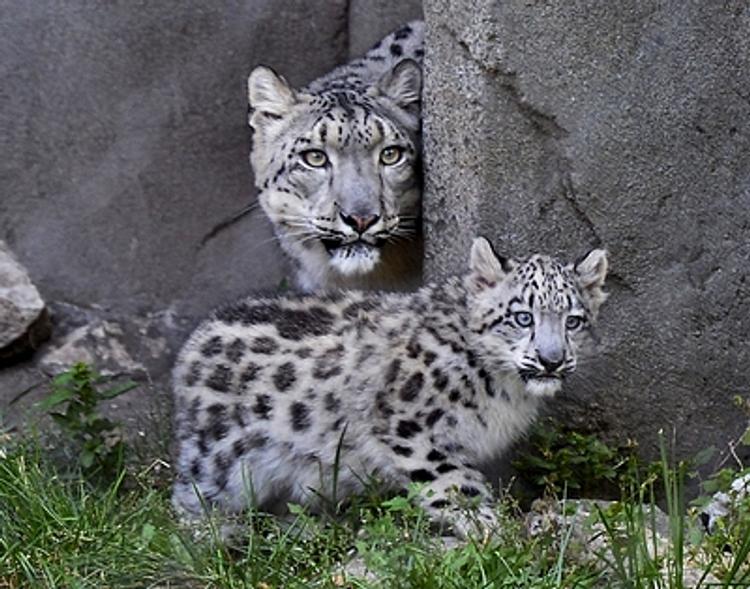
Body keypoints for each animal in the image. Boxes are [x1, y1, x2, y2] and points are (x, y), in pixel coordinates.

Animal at [173, 237, 608, 536]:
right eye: (522, 317)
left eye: (573, 321)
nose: (552, 359)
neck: (505, 391)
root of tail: (192, 345)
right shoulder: (408, 424)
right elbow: (452, 480)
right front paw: (489, 527)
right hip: (220, 463)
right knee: (186, 499)